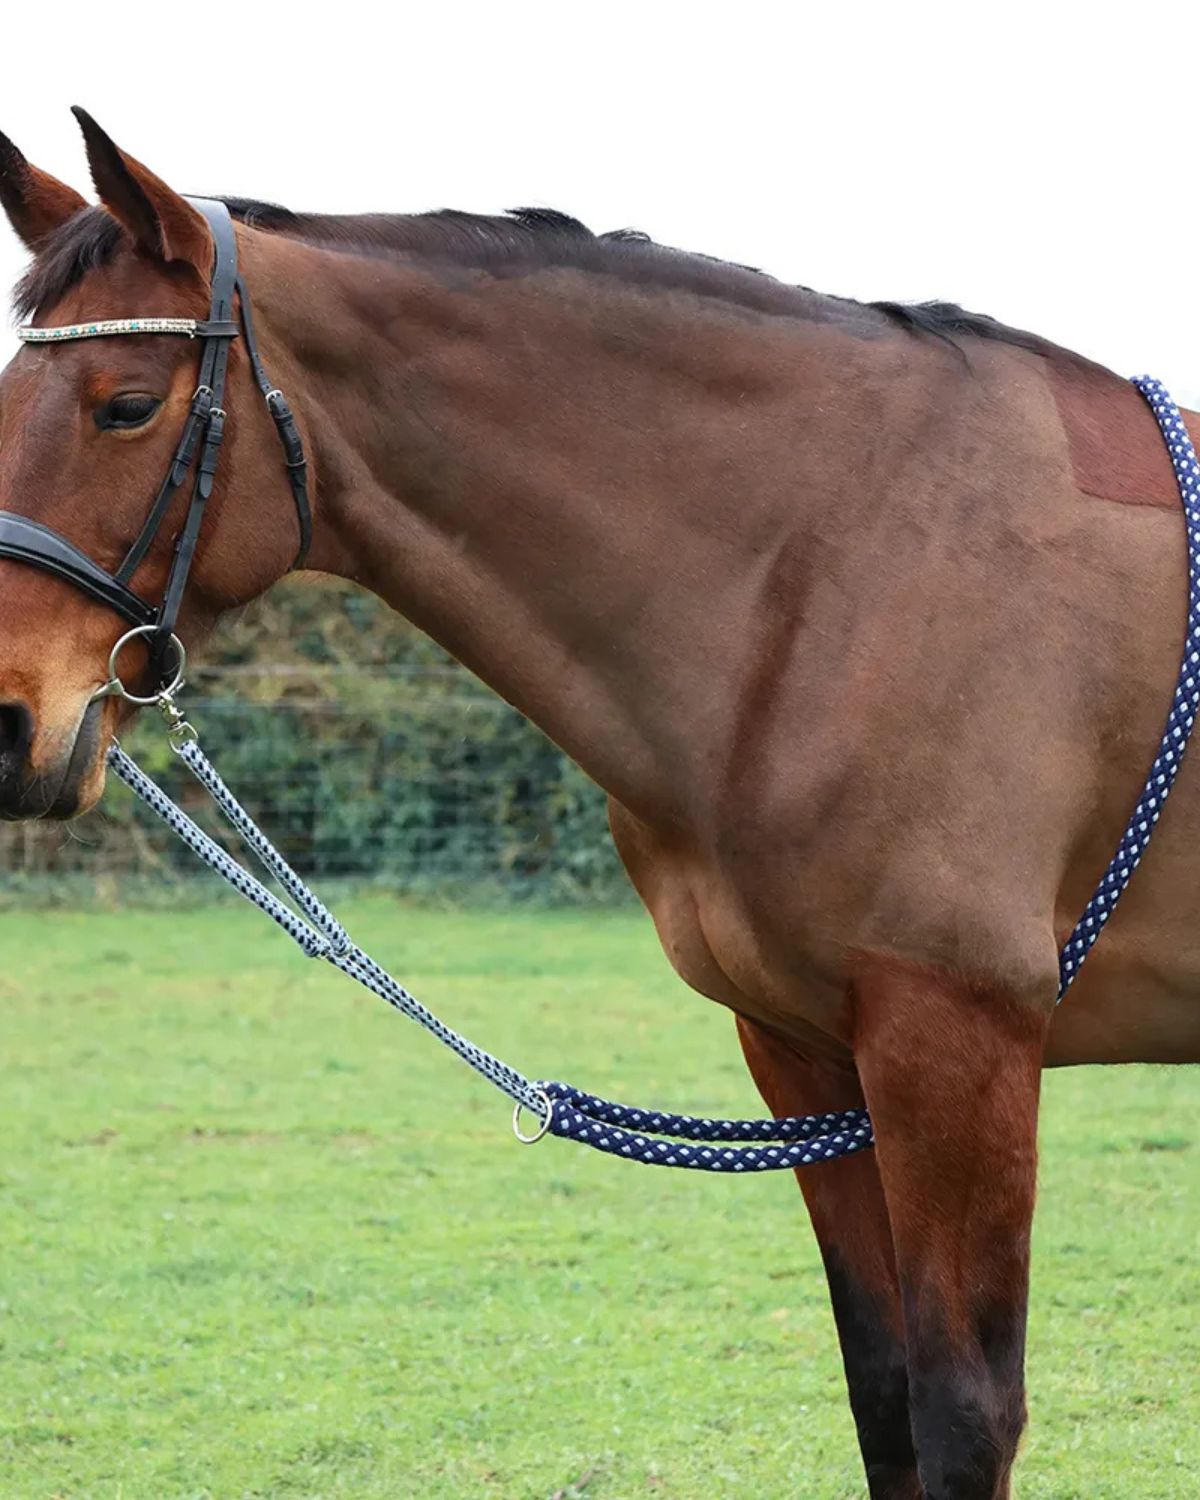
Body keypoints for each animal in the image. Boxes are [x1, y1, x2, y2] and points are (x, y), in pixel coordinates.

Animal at [1, 111, 1196, 1500]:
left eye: (127, 407)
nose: (5, 722)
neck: (847, 561)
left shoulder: (957, 1046)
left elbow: (964, 1413)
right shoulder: (808, 1052)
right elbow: (885, 1395)